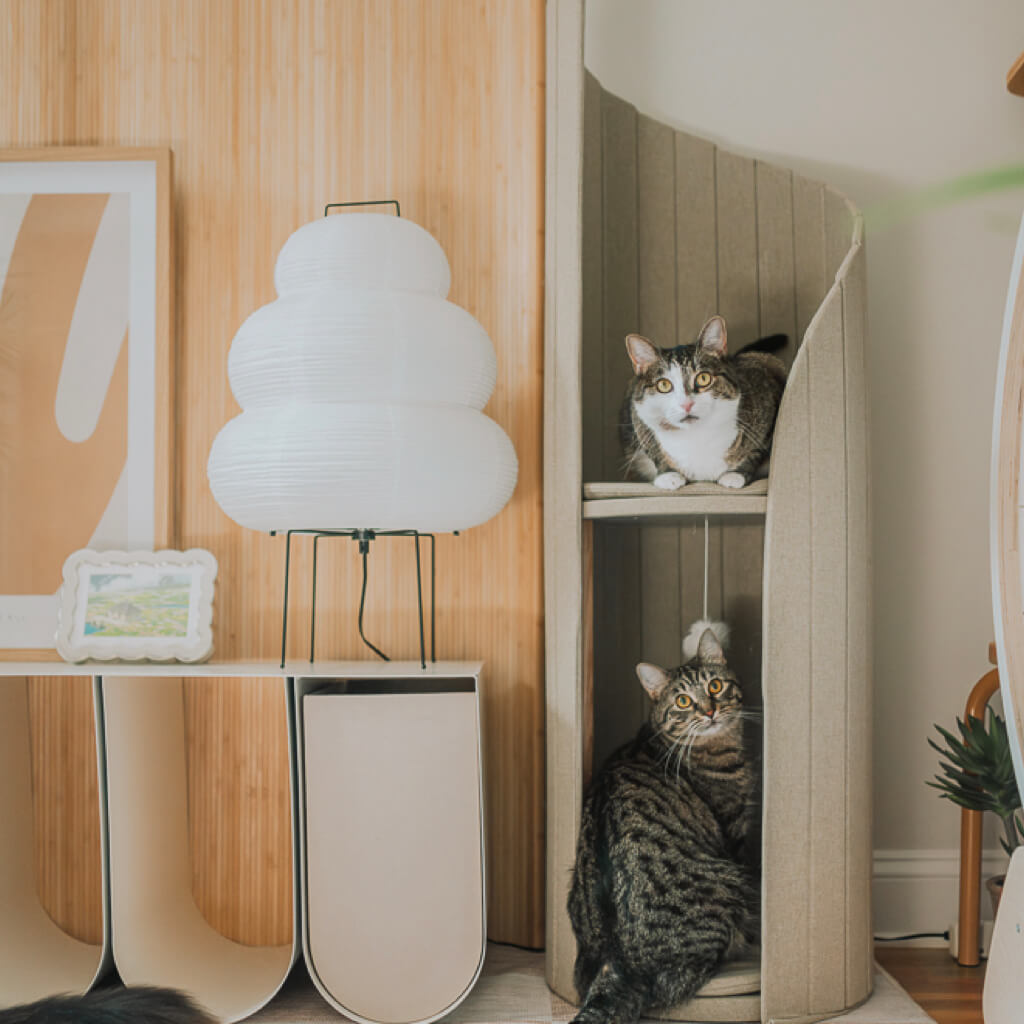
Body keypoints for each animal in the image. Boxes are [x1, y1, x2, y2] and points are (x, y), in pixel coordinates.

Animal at [569, 622, 761, 1024]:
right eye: (683, 702)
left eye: (715, 686)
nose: (710, 711)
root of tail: (620, 962)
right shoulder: (734, 829)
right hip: (729, 881)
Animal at [618, 317, 786, 493]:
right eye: (664, 385)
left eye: (703, 378)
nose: (686, 404)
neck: (697, 436)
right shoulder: (635, 412)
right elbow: (652, 449)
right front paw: (667, 475)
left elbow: (757, 451)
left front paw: (735, 474)